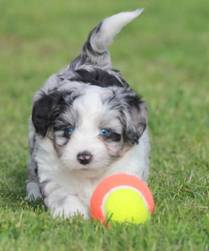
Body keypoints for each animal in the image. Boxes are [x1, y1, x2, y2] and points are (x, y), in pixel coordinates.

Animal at [26, 8, 149, 219]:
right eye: (68, 130)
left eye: (106, 132)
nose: (84, 157)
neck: (89, 176)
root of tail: (91, 61)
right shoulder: (52, 171)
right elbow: (64, 194)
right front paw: (71, 215)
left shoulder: (128, 166)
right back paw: (32, 193)